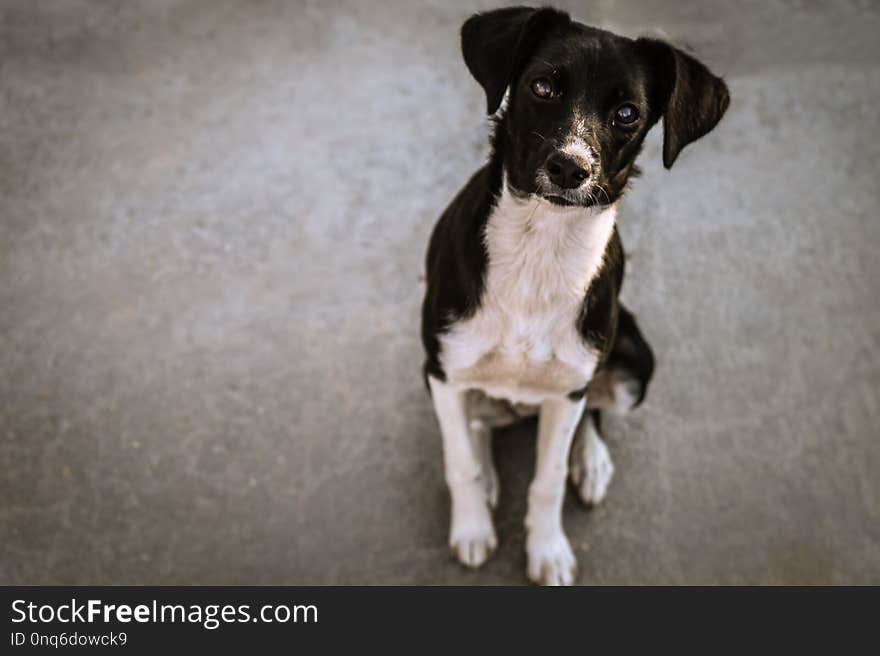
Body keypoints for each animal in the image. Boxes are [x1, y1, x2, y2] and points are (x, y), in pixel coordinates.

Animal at [420, 7, 728, 584]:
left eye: (627, 113)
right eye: (542, 86)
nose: (569, 168)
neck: (539, 246)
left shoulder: (568, 389)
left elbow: (548, 480)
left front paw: (549, 549)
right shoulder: (442, 371)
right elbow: (460, 462)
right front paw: (471, 528)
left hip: (634, 361)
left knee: (594, 412)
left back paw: (592, 461)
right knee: (479, 422)